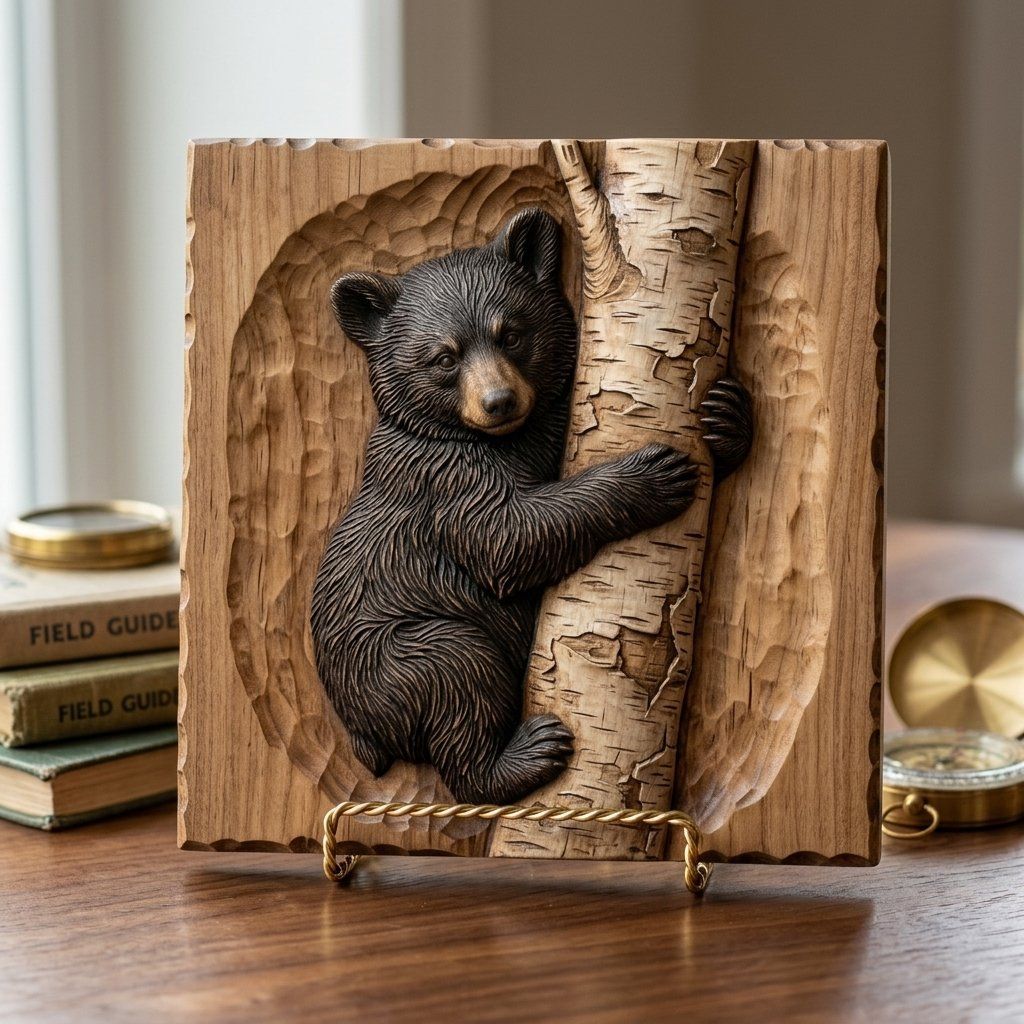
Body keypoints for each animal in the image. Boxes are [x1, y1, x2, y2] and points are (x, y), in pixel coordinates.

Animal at [310, 207, 752, 806]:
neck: (497, 437)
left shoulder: (547, 424)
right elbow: (507, 536)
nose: (499, 401)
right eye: (443, 356)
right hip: (396, 657)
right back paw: (527, 752)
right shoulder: (443, 477)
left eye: (513, 332)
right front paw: (654, 474)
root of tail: (361, 732)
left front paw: (727, 415)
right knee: (458, 676)